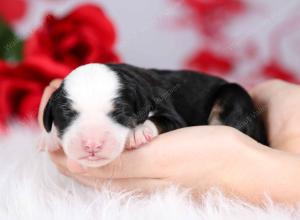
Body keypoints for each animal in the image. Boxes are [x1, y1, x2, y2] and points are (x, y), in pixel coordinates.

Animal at [39, 63, 268, 167]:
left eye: (120, 112)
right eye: (67, 114)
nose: (92, 145)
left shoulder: (172, 115)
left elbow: (159, 119)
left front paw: (138, 131)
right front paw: (49, 137)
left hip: (233, 96)